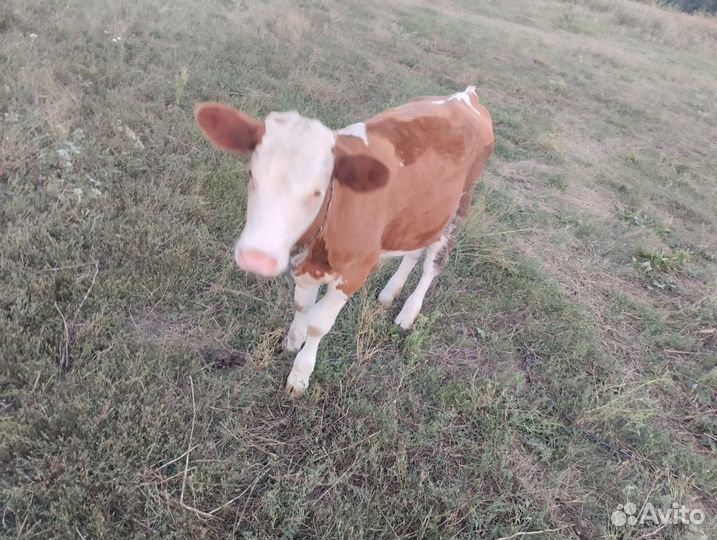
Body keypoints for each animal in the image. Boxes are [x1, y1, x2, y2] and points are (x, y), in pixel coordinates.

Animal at [195, 86, 494, 397]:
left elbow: (319, 324)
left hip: (459, 207)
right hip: (421, 216)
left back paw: (408, 313)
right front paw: (293, 340)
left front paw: (300, 375)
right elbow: (301, 306)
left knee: (433, 264)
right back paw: (390, 293)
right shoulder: (304, 265)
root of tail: (465, 97)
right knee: (414, 251)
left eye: (317, 191)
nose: (257, 257)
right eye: (251, 174)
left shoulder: (354, 272)